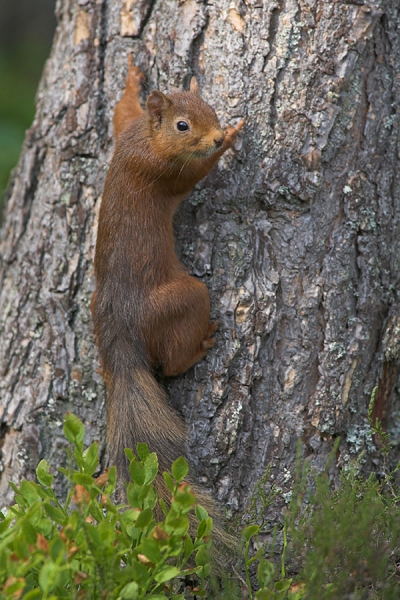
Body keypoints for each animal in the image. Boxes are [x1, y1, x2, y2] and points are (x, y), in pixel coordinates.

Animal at [91, 56, 244, 512]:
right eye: (182, 125)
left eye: (209, 107)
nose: (215, 134)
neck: (146, 139)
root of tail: (121, 341)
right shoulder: (164, 172)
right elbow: (195, 174)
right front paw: (230, 140)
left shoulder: (126, 131)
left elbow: (121, 114)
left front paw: (132, 82)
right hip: (183, 298)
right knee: (172, 362)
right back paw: (201, 345)